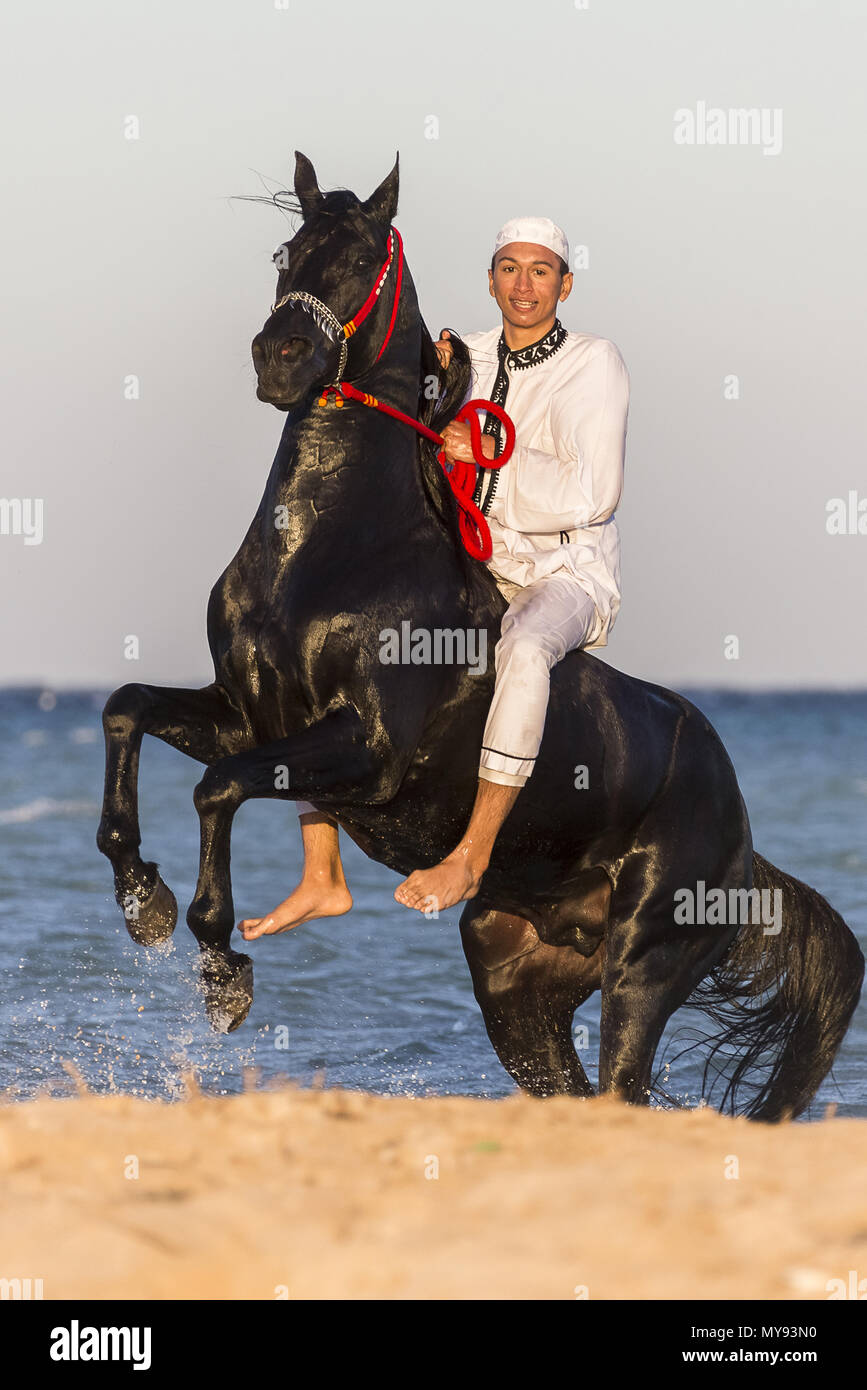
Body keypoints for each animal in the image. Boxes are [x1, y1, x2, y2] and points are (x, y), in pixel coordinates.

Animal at [96, 154, 861, 1117]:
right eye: (284, 252)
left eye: (360, 260)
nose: (280, 359)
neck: (331, 548)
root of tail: (744, 839)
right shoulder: (251, 717)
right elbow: (128, 710)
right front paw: (141, 900)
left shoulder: (366, 749)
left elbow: (217, 789)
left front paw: (218, 964)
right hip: (514, 983)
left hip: (642, 969)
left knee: (623, 1086)